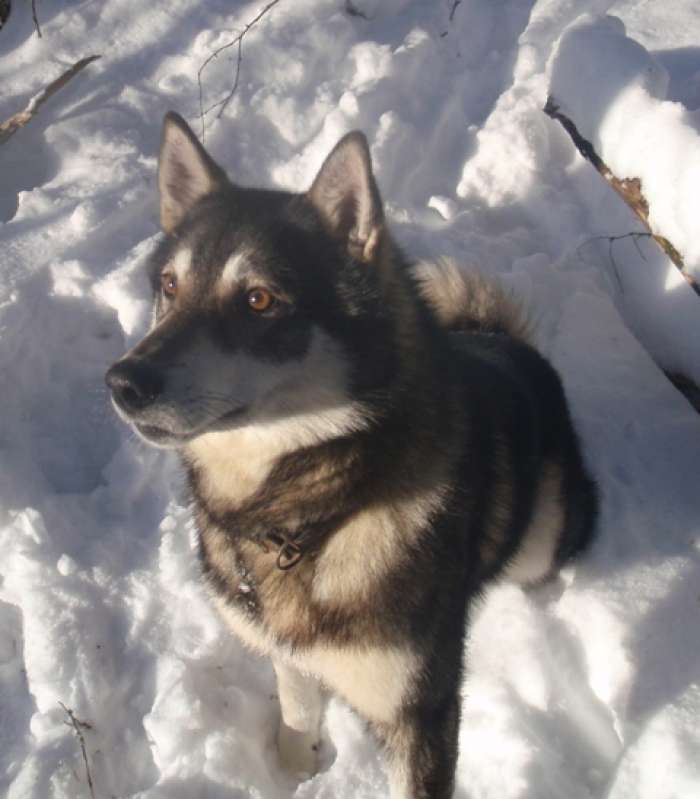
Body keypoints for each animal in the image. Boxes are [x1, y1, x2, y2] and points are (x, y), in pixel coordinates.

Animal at [106, 112, 598, 799]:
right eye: (170, 287)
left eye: (259, 300)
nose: (124, 382)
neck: (304, 516)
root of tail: (506, 342)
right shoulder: (286, 647)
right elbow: (296, 706)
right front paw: (297, 764)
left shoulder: (420, 708)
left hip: (543, 536)